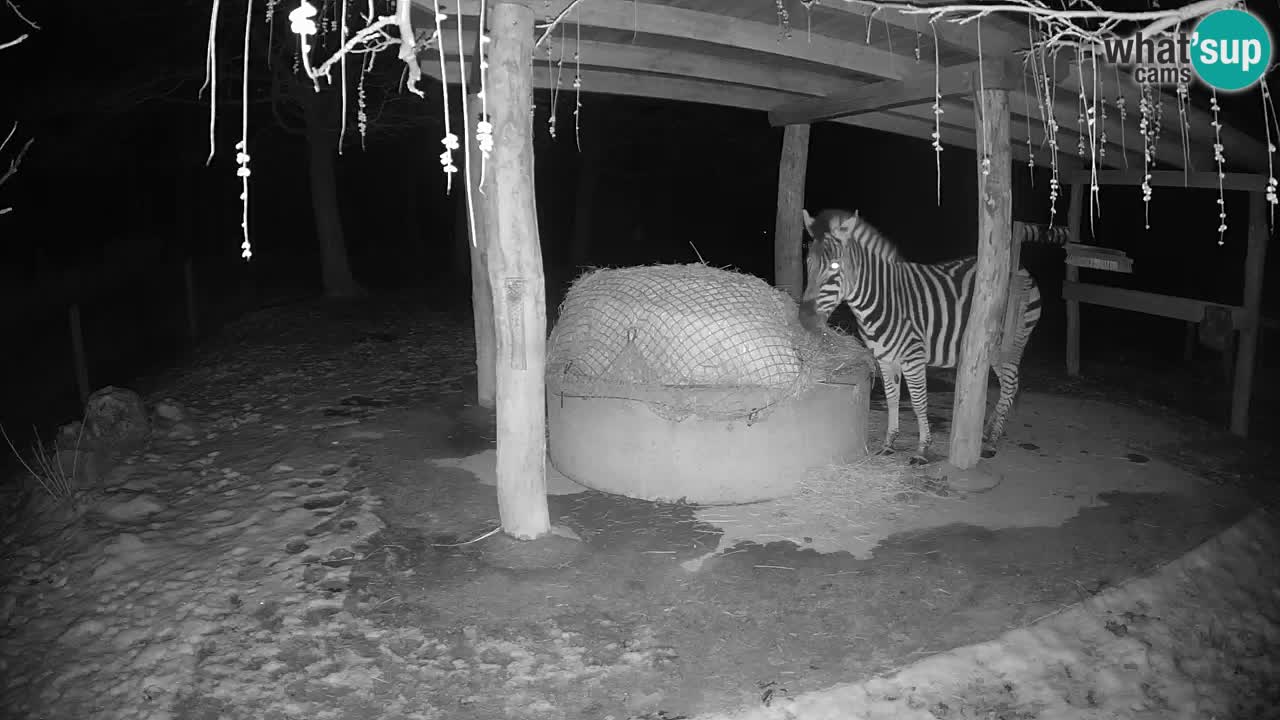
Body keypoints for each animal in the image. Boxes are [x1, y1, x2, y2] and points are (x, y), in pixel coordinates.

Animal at [793, 206, 1064, 466]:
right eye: (808, 261)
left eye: (834, 267)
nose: (804, 319)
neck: (881, 299)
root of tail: (1020, 268)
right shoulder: (884, 358)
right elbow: (892, 399)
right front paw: (889, 443)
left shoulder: (913, 357)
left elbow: (918, 401)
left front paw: (923, 450)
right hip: (993, 350)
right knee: (1008, 385)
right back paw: (987, 431)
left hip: (1010, 343)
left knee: (1010, 386)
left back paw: (992, 442)